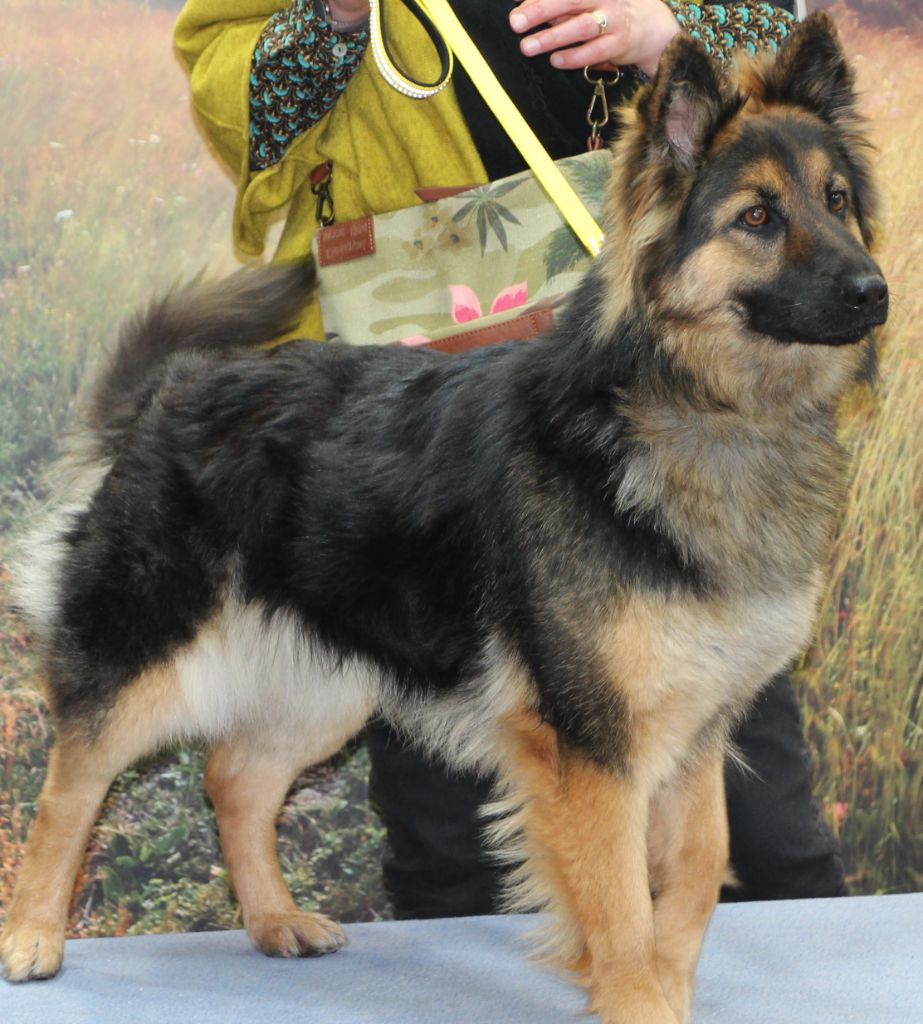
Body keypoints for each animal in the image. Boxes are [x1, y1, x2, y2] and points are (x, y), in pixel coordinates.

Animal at [0, 13, 886, 1024]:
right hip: (151, 654)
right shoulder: (589, 746)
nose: (874, 291)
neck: (686, 408)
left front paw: (667, 985)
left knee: (234, 779)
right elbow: (620, 898)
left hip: (328, 679)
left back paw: (272, 920)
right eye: (757, 218)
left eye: (835, 200)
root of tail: (175, 386)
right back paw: (33, 932)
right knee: (72, 784)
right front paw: (637, 997)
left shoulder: (693, 731)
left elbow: (698, 869)